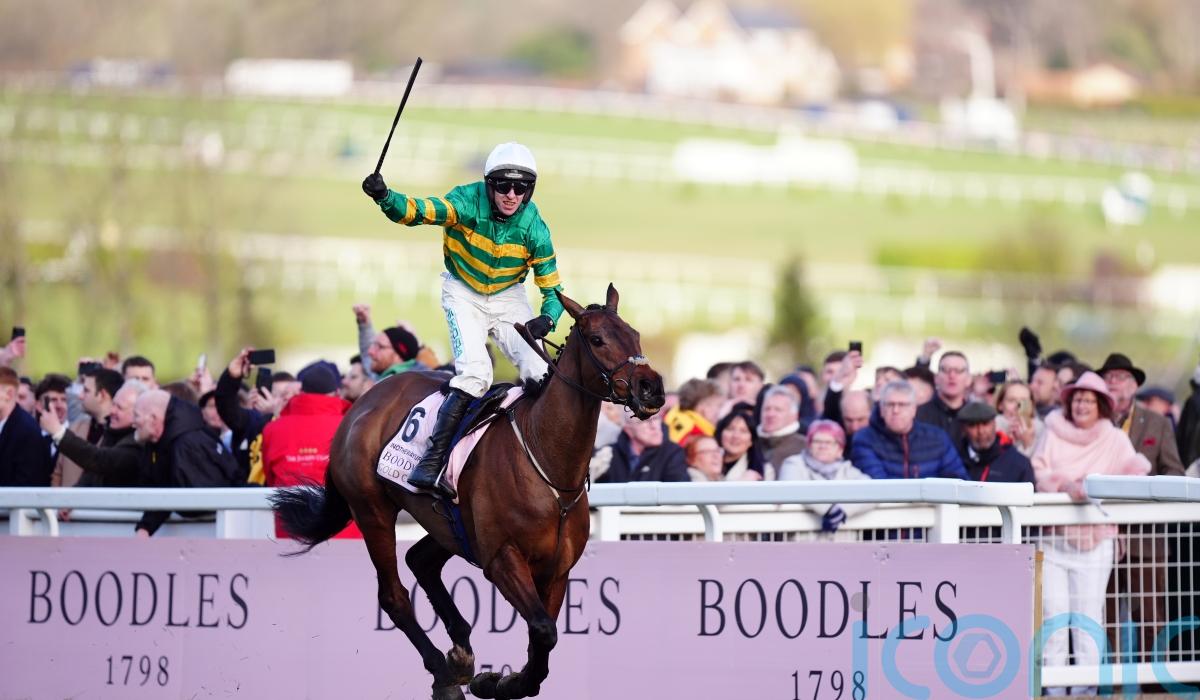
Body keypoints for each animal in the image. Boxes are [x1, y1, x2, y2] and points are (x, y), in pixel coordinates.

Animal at [270, 285, 666, 700]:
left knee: (420, 560)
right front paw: (502, 680)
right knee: (394, 596)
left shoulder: (557, 570)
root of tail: (361, 403)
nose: (651, 387)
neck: (547, 459)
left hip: (448, 524)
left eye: (635, 334)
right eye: (597, 339)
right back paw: (443, 673)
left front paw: (502, 678)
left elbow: (542, 639)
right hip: (372, 510)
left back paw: (460, 652)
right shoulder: (502, 558)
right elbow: (543, 630)